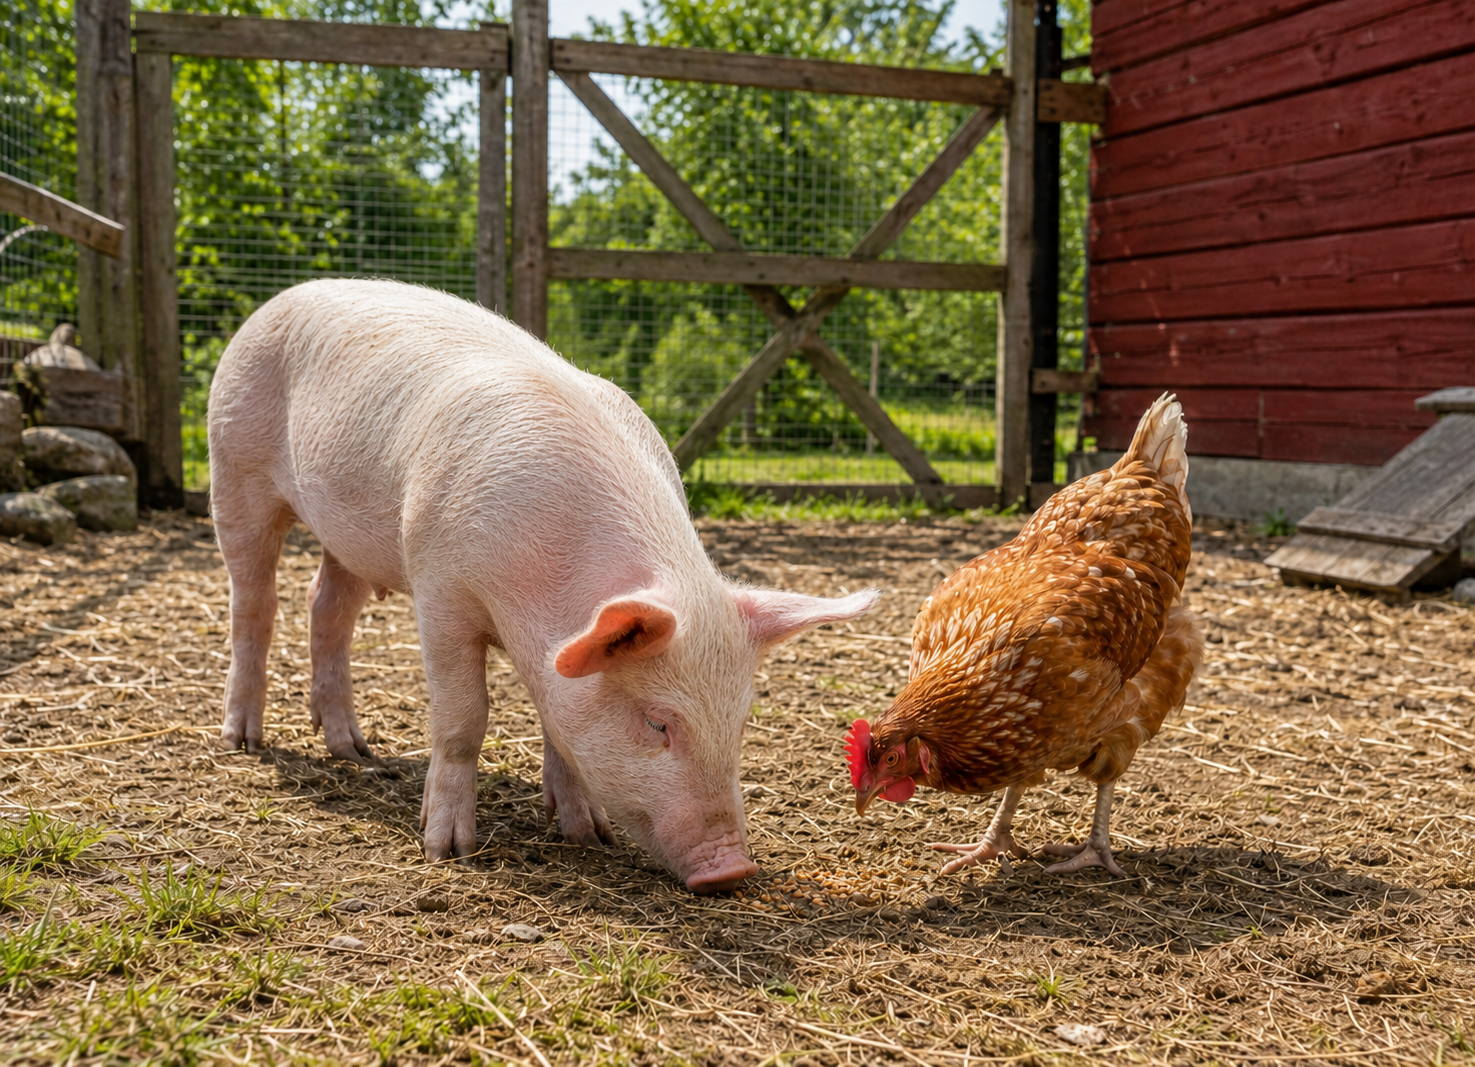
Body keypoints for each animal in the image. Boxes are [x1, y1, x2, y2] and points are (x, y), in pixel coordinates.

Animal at [207, 279, 877, 892]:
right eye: (658, 723)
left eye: (740, 723)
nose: (732, 869)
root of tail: (281, 298)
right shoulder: (439, 588)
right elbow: (463, 718)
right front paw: (448, 850)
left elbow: (560, 720)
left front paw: (588, 836)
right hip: (233, 468)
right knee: (254, 605)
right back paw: (244, 740)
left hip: (344, 533)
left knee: (327, 607)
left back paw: (353, 750)